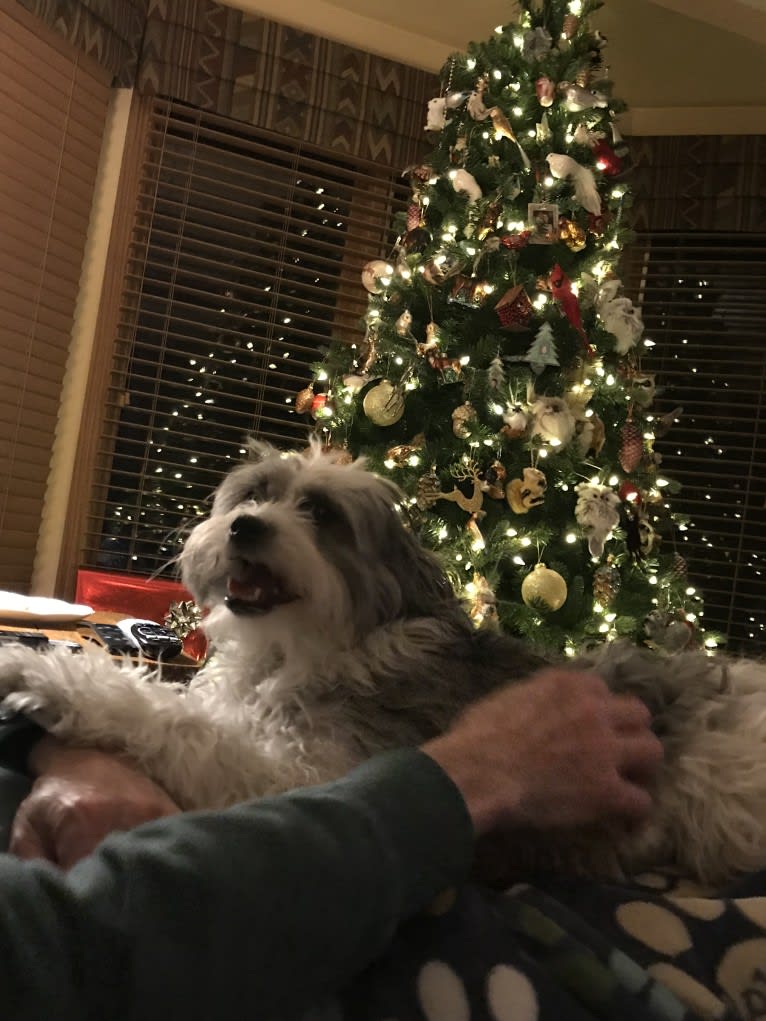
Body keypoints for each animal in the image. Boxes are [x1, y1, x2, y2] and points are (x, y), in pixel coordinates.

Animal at [1, 441, 766, 886]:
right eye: (253, 495)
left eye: (319, 513)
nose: (244, 526)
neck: (297, 648)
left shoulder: (294, 772)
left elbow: (176, 723)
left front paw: (37, 673)